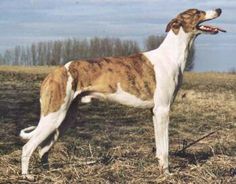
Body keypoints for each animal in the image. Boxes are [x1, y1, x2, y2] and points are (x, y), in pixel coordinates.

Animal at [19, 7, 225, 179]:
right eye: (197, 12)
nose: (219, 9)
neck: (171, 55)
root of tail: (53, 73)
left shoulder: (155, 112)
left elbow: (160, 148)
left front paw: (161, 170)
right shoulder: (163, 110)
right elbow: (165, 148)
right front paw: (167, 174)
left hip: (64, 119)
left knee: (43, 149)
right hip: (54, 116)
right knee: (28, 147)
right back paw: (27, 176)